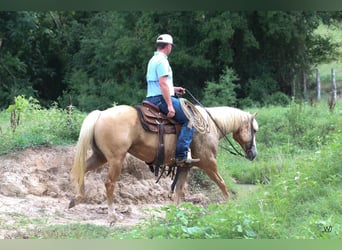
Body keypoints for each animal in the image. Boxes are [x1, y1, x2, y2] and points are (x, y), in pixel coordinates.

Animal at [69, 104, 256, 222]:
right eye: (254, 130)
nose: (254, 154)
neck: (210, 127)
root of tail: (101, 114)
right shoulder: (209, 163)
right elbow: (222, 184)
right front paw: (231, 206)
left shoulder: (184, 166)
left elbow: (179, 191)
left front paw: (176, 214)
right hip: (116, 159)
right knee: (109, 183)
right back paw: (113, 215)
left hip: (99, 156)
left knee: (81, 171)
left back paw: (76, 199)